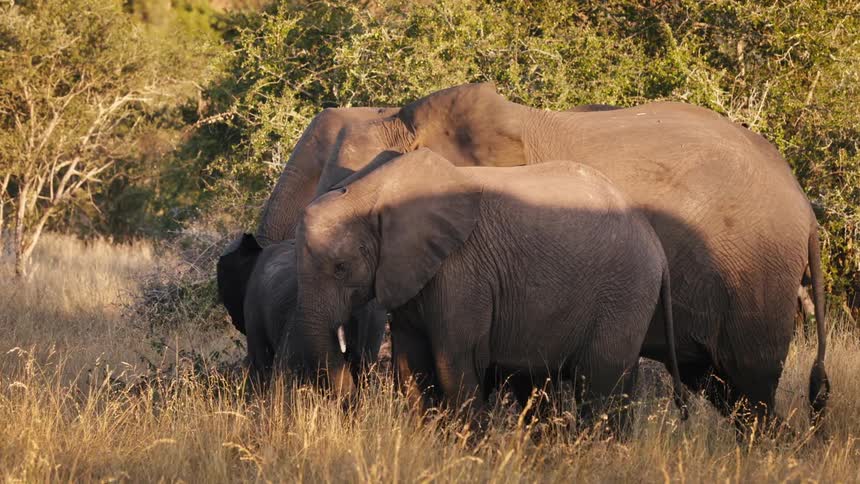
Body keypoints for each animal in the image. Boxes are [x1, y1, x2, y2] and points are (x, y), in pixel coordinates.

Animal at [283, 149, 688, 428]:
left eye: (340, 267)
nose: (352, 405)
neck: (373, 187)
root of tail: (656, 246)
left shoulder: (462, 270)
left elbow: (454, 362)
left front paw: (468, 453)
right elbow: (412, 366)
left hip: (624, 291)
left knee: (600, 383)